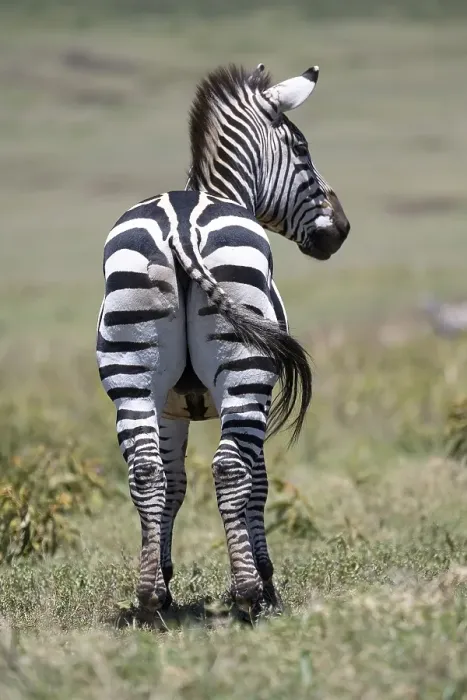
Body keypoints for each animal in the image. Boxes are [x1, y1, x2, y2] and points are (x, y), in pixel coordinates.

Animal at [96, 62, 350, 621]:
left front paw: (164, 579)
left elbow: (172, 484)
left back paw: (148, 599)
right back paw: (249, 595)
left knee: (145, 471)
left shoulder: (171, 407)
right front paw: (267, 582)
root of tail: (179, 225)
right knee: (233, 470)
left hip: (131, 370)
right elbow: (259, 484)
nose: (341, 230)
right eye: (301, 149)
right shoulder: (258, 394)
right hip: (246, 374)